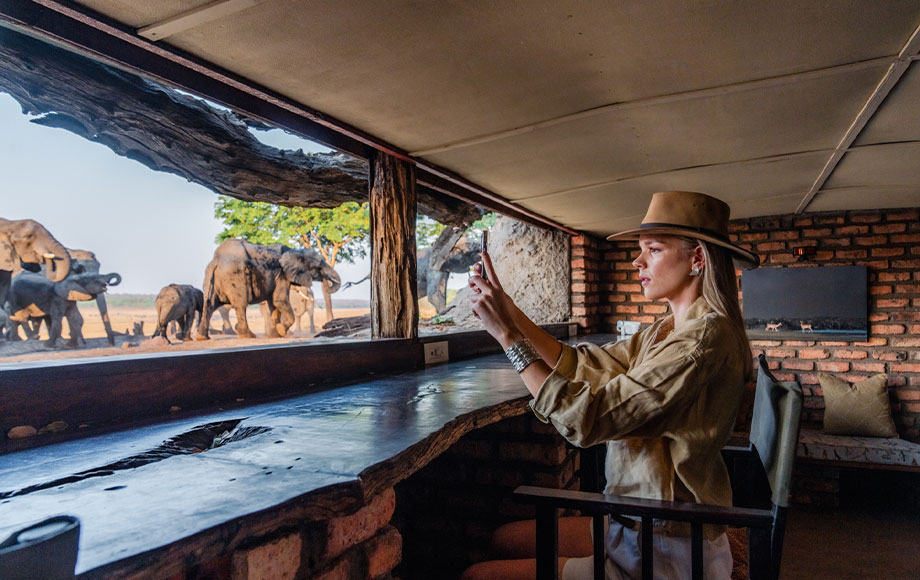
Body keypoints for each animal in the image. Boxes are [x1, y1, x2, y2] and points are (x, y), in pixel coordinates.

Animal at [196, 240, 340, 340]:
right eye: (319, 266)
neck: (295, 251)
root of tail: (216, 261)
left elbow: (273, 304)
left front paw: (275, 335)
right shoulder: (282, 275)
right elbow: (279, 301)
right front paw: (281, 331)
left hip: (211, 279)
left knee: (209, 305)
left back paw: (202, 337)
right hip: (235, 277)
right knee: (240, 305)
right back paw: (248, 336)